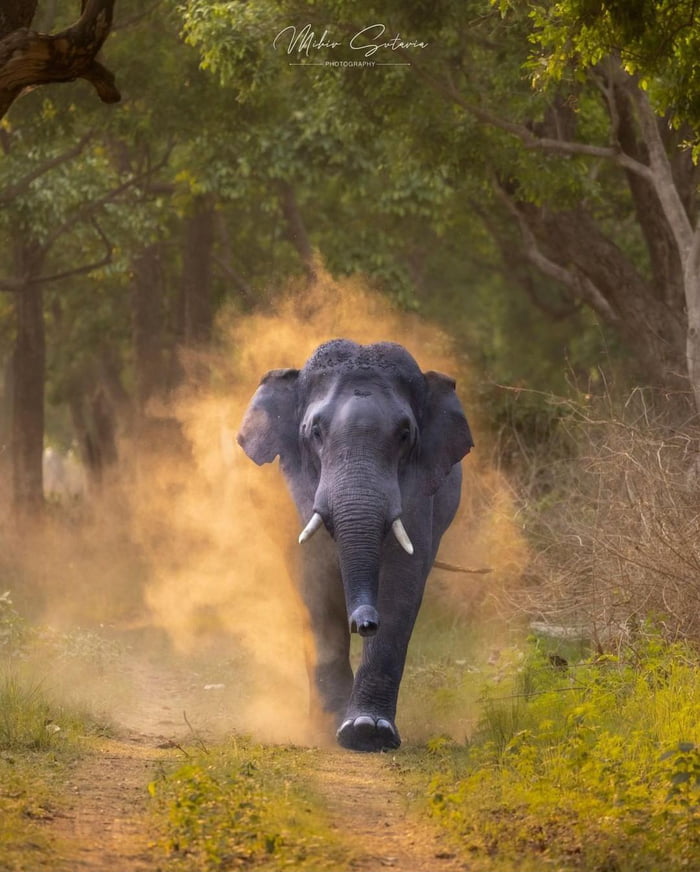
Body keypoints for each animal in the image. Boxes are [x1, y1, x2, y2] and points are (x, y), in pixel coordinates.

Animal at [237, 339, 473, 751]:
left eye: (405, 434)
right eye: (315, 431)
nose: (364, 623)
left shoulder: (419, 495)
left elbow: (401, 587)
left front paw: (367, 731)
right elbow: (314, 589)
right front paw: (328, 728)